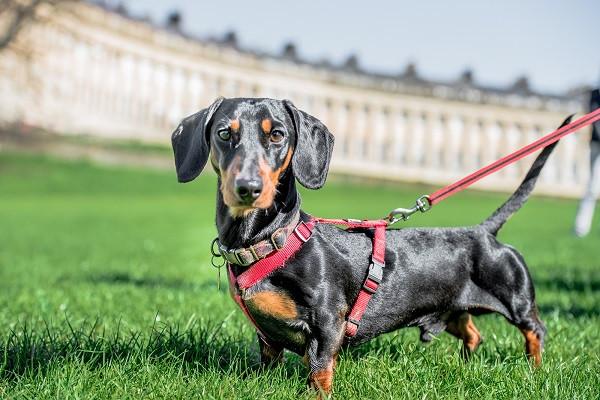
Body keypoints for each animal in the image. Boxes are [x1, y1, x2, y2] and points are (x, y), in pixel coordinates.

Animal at [172, 97, 564, 394]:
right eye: (224, 132)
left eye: (277, 134)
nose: (248, 188)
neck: (269, 240)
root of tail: (484, 231)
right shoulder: (267, 336)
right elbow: (268, 362)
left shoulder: (327, 323)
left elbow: (319, 371)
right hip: (453, 311)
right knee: (473, 334)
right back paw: (467, 366)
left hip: (517, 301)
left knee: (535, 331)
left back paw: (535, 370)